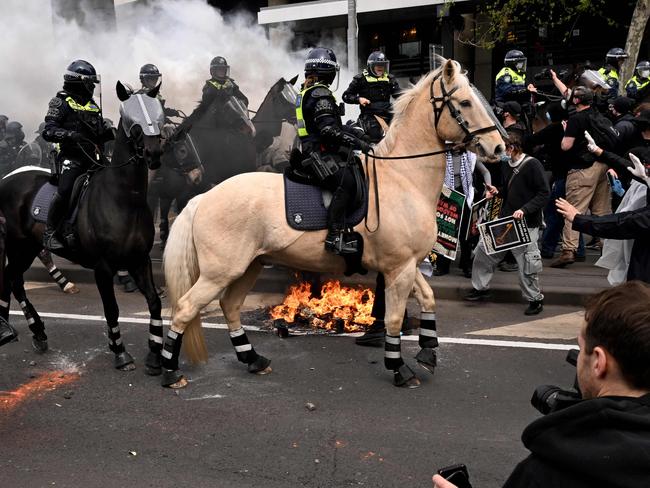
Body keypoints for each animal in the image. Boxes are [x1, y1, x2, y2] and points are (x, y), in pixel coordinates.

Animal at [0, 83, 165, 374]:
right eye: (133, 120)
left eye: (157, 113)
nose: (153, 153)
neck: (124, 199)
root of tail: (8, 179)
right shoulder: (103, 267)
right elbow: (111, 309)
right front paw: (120, 351)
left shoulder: (140, 260)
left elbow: (154, 302)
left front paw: (155, 353)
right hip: (18, 245)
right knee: (13, 279)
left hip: (28, 247)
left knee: (14, 279)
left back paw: (36, 332)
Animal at [159, 59, 504, 388]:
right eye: (465, 102)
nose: (499, 147)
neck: (402, 177)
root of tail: (203, 197)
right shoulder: (399, 268)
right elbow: (393, 320)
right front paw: (399, 368)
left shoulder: (407, 265)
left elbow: (429, 298)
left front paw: (428, 351)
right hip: (220, 272)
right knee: (186, 308)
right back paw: (170, 372)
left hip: (249, 266)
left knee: (230, 306)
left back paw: (253, 359)